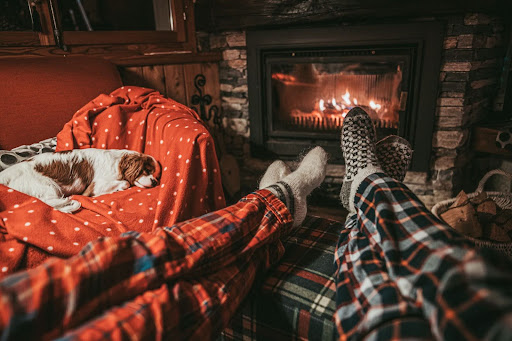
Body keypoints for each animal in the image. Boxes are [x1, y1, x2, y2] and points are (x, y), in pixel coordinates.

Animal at [0, 149, 160, 212]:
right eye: (147, 171)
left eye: (154, 173)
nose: (155, 182)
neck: (116, 162)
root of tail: (5, 175)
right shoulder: (94, 186)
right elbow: (126, 182)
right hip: (48, 186)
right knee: (48, 202)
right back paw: (69, 202)